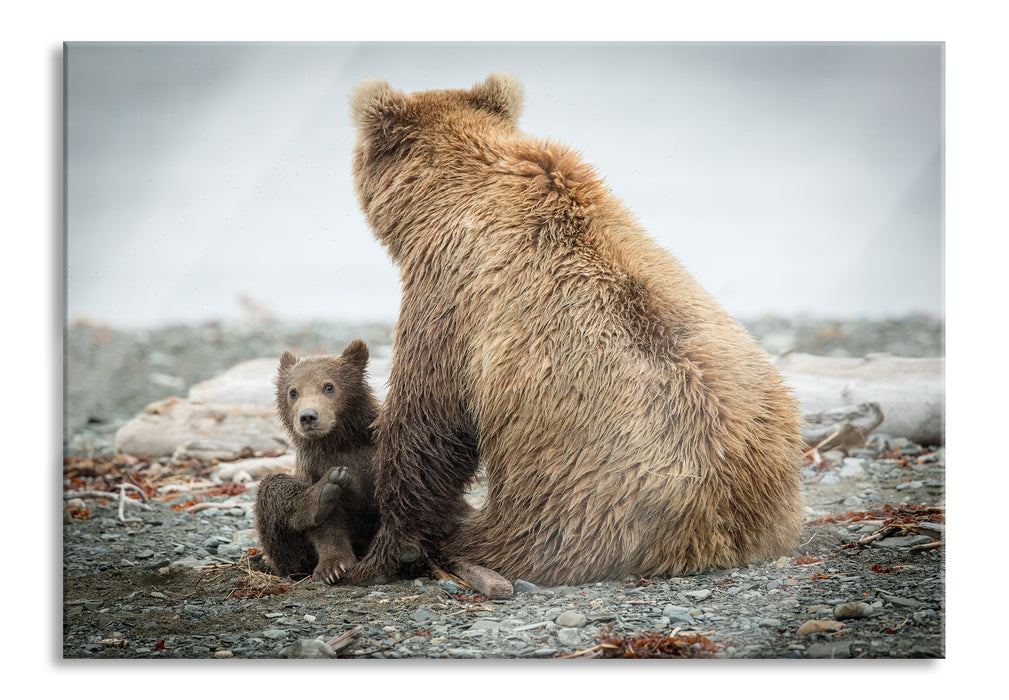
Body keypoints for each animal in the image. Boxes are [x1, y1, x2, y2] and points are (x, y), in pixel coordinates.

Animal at [254, 340, 380, 583]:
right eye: (293, 392)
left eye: (329, 386)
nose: (308, 416)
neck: (340, 441)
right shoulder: (314, 467)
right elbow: (327, 527)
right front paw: (333, 567)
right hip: (291, 556)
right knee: (273, 488)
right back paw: (322, 493)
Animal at [344, 73, 805, 586]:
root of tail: (720, 524)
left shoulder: (450, 295)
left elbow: (426, 420)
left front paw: (382, 552)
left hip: (578, 500)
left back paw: (461, 543)